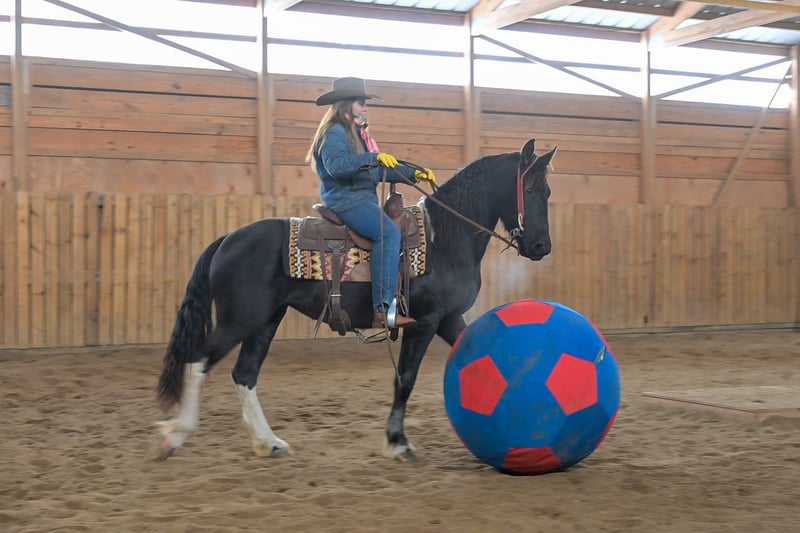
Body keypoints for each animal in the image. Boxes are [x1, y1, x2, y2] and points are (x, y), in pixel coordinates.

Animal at [156, 138, 557, 462]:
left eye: (548, 192)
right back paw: (175, 435)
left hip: (265, 321)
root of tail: (227, 239)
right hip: (239, 319)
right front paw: (397, 442)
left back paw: (268, 442)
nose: (541, 246)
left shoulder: (448, 319)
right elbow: (405, 378)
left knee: (244, 373)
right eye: (531, 189)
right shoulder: (424, 322)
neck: (445, 237)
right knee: (198, 360)